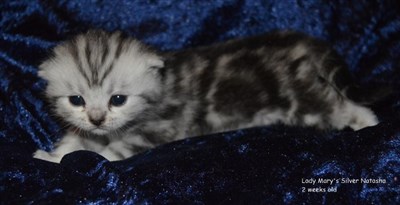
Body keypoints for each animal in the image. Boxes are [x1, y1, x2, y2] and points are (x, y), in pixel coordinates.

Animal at [33, 29, 378, 163]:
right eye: (76, 100)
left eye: (118, 99)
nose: (96, 118)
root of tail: (301, 41)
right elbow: (77, 140)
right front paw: (55, 153)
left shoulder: (155, 131)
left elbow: (107, 154)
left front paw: (61, 159)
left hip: (302, 99)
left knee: (339, 105)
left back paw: (368, 122)